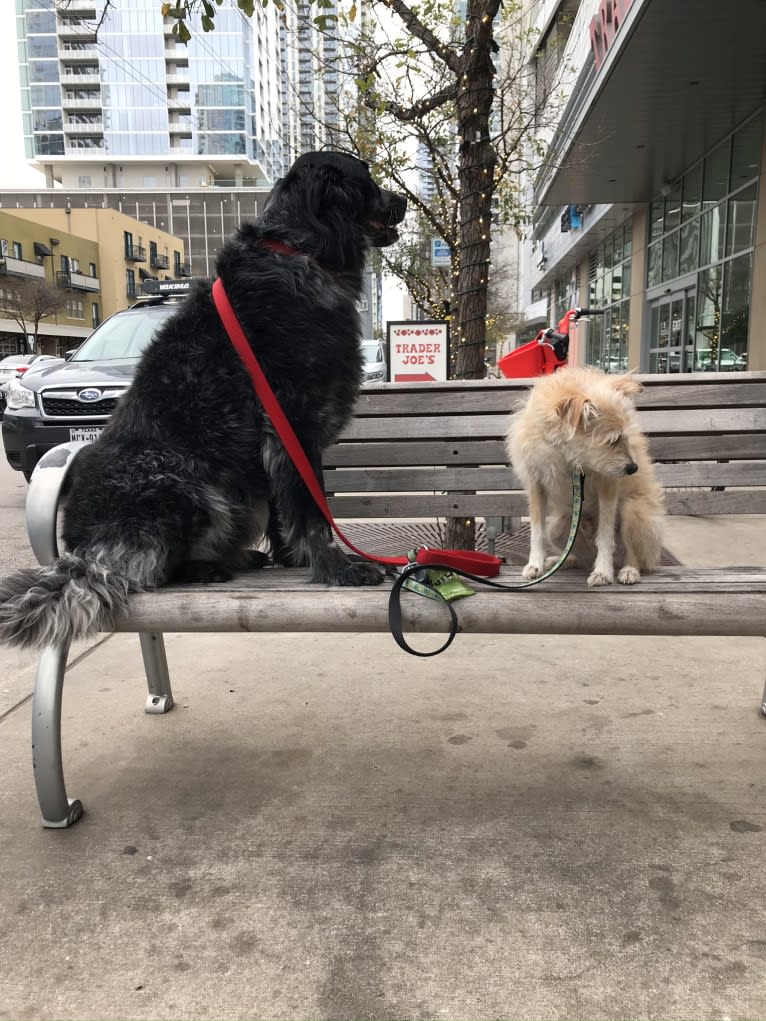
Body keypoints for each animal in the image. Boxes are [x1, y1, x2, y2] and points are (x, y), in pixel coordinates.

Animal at [0, 149, 408, 645]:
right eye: (364, 177)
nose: (404, 202)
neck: (296, 251)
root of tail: (85, 554)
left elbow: (285, 513)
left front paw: (294, 559)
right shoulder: (293, 425)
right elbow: (313, 513)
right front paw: (337, 567)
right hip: (184, 483)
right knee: (152, 572)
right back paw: (207, 567)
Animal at [506, 371, 661, 588]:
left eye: (625, 437)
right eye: (612, 441)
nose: (633, 468)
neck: (567, 454)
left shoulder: (608, 485)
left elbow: (605, 535)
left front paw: (603, 572)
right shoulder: (536, 484)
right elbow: (537, 530)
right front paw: (535, 565)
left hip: (633, 511)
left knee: (632, 553)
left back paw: (629, 569)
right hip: (558, 528)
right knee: (581, 555)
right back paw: (564, 560)